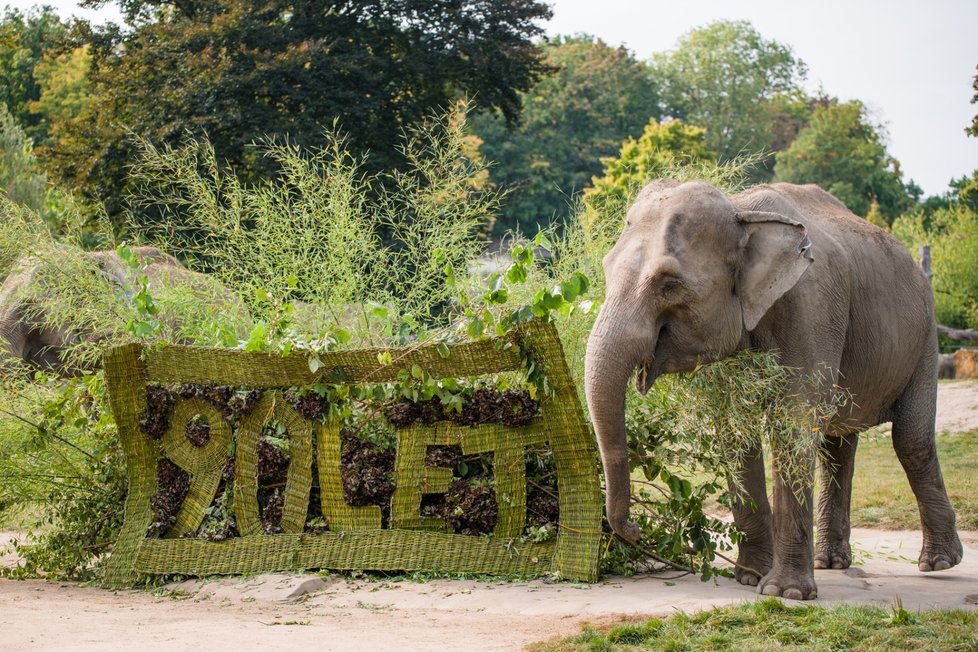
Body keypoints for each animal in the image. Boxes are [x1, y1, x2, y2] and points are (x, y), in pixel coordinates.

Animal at [588, 180, 960, 600]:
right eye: (606, 269)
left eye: (669, 284)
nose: (635, 530)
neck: (742, 212)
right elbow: (735, 432)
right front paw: (750, 578)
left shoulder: (810, 308)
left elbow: (794, 424)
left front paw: (786, 593)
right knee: (838, 444)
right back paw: (831, 562)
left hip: (925, 339)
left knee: (910, 439)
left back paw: (939, 563)